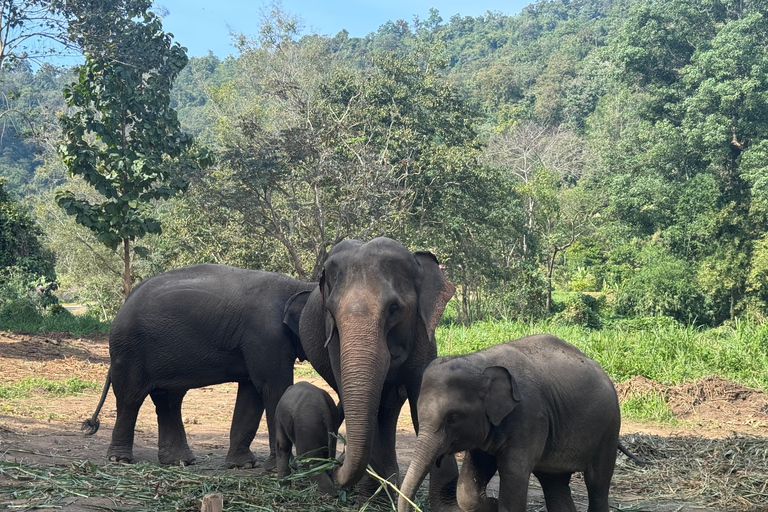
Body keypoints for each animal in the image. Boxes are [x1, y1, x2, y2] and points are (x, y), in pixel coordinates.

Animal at [82, 264, 315, 468]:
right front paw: (283, 469)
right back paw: (120, 460)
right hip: (130, 350)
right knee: (131, 398)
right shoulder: (266, 335)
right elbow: (273, 388)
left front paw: (244, 466)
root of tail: (125, 302)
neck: (298, 286)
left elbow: (252, 392)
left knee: (169, 399)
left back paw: (179, 462)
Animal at [283, 237, 461, 510]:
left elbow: (420, 395)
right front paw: (369, 500)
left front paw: (448, 507)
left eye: (394, 309)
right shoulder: (334, 340)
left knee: (387, 408)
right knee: (379, 411)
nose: (337, 467)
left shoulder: (423, 333)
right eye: (331, 312)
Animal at [398, 334, 626, 512]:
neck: (480, 362)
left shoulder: (529, 416)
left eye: (452, 418)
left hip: (609, 427)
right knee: (554, 483)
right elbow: (469, 485)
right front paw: (492, 504)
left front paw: (496, 502)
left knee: (597, 482)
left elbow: (514, 472)